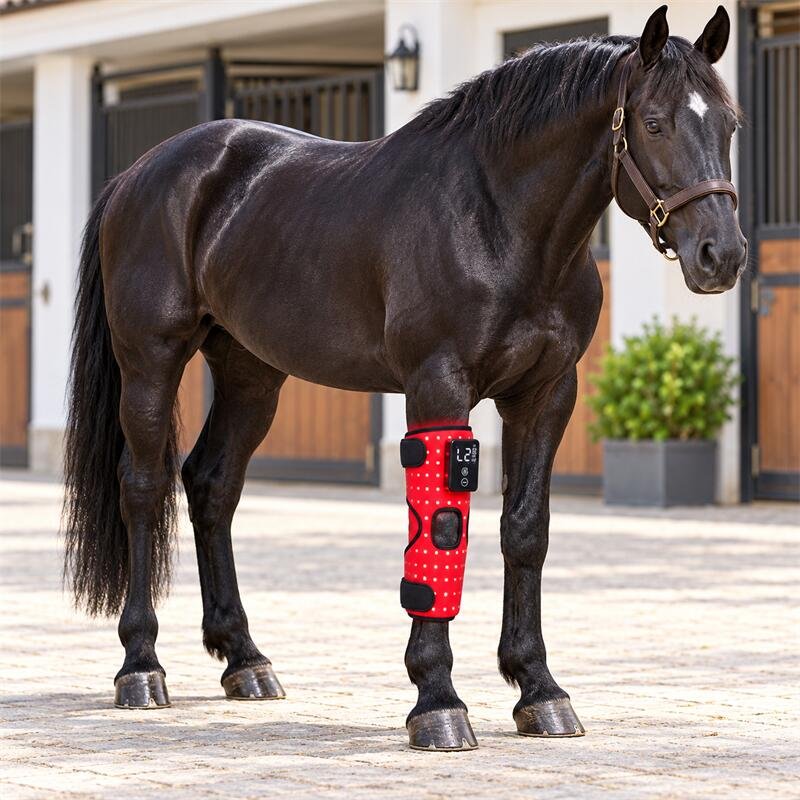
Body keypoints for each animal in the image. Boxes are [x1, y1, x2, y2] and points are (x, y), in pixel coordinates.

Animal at [63, 5, 746, 750]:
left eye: (730, 123)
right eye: (652, 123)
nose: (721, 255)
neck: (499, 222)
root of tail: (137, 175)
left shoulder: (544, 396)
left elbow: (525, 530)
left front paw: (539, 690)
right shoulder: (437, 386)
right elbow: (443, 530)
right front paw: (438, 701)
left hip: (251, 374)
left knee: (212, 485)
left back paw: (245, 660)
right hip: (150, 361)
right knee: (143, 486)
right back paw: (141, 667)